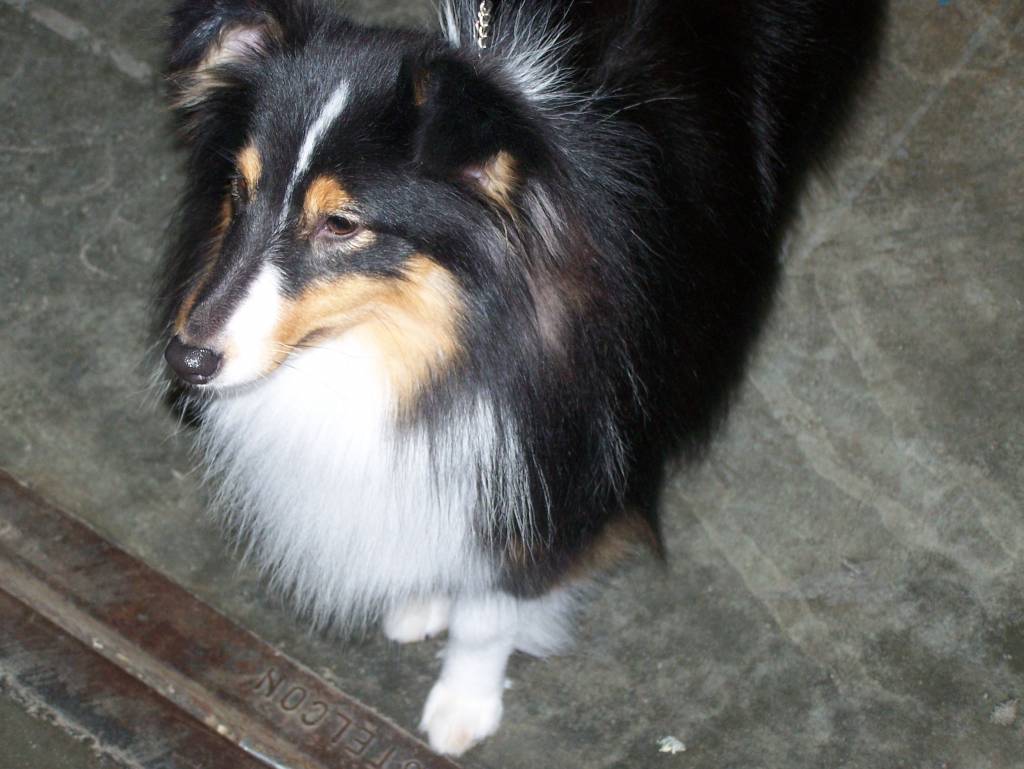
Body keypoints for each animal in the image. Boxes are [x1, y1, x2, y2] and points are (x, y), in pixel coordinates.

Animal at [157, 0, 883, 755]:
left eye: (341, 223)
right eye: (239, 190)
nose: (186, 359)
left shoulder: (554, 471)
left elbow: (489, 613)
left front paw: (462, 705)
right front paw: (423, 595)